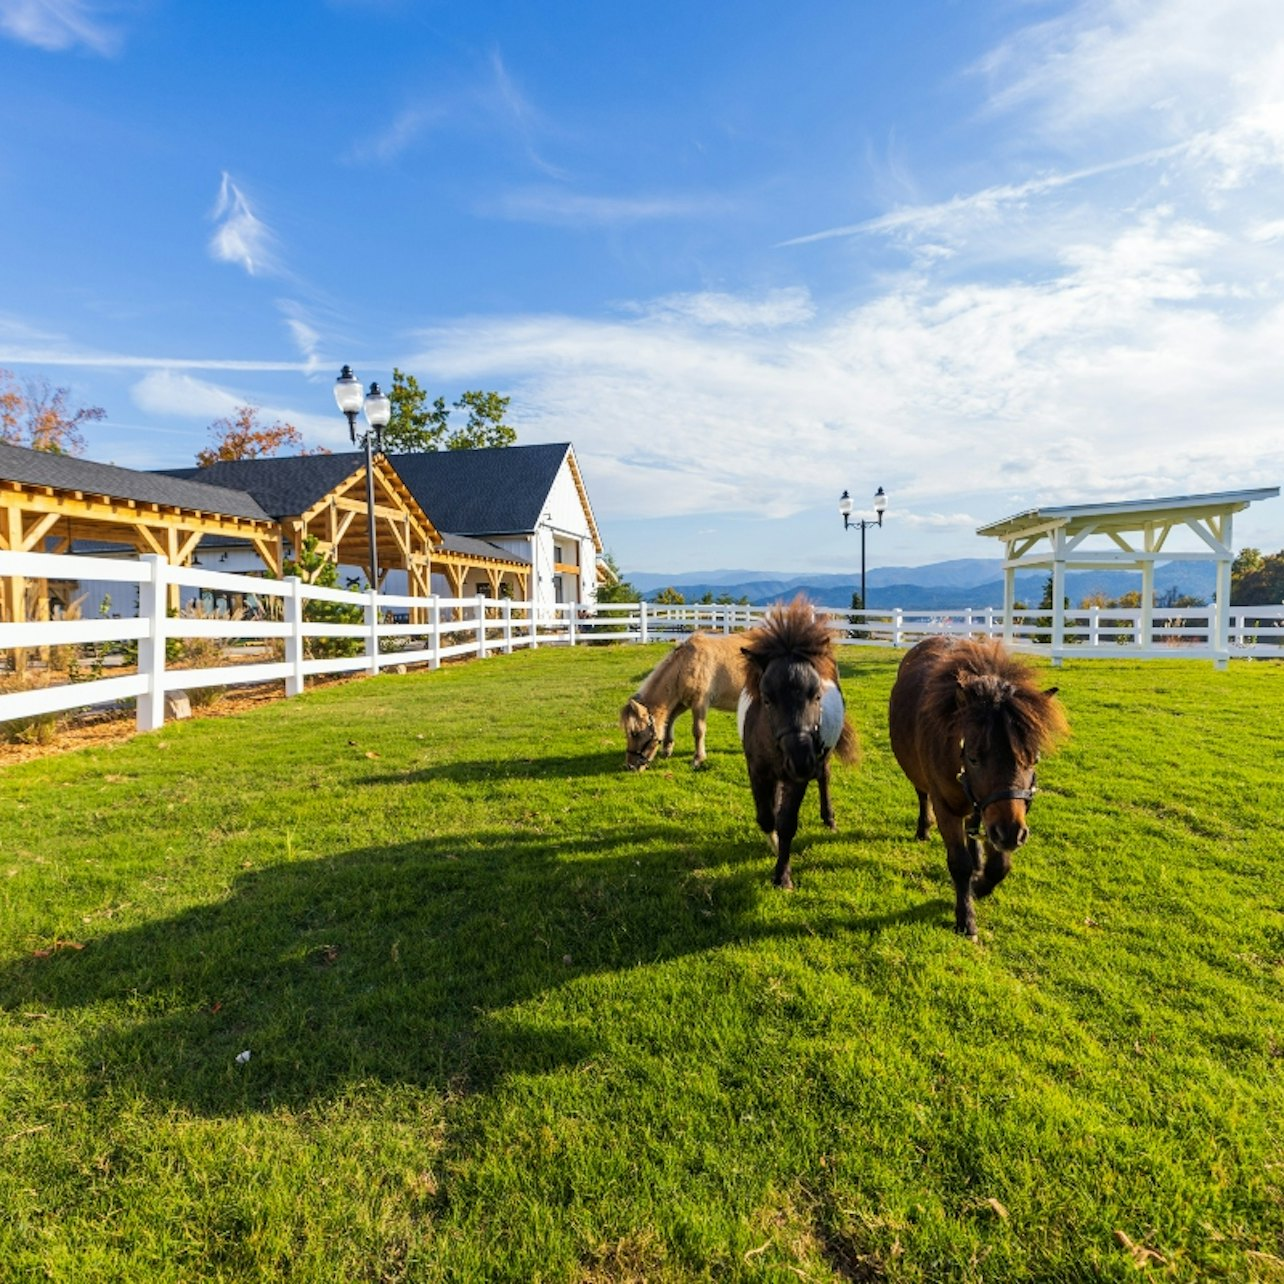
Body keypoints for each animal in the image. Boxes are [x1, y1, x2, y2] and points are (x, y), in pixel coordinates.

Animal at [618, 629, 754, 765]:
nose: (630, 766)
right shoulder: (683, 702)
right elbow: (669, 720)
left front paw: (698, 758)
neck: (685, 664)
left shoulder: (699, 703)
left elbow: (698, 730)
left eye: (635, 733)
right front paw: (667, 749)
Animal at [739, 595, 857, 888]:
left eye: (817, 696)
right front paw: (773, 845)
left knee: (824, 777)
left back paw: (829, 819)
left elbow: (787, 822)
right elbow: (766, 816)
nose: (801, 761)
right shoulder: (757, 770)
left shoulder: (798, 777)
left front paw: (782, 875)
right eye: (767, 699)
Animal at [888, 636, 1068, 939]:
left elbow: (1000, 865)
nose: (1011, 833)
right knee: (923, 795)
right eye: (973, 757)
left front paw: (981, 884)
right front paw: (966, 917)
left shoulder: (998, 814)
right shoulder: (946, 806)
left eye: (1033, 759)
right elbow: (959, 864)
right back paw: (924, 829)